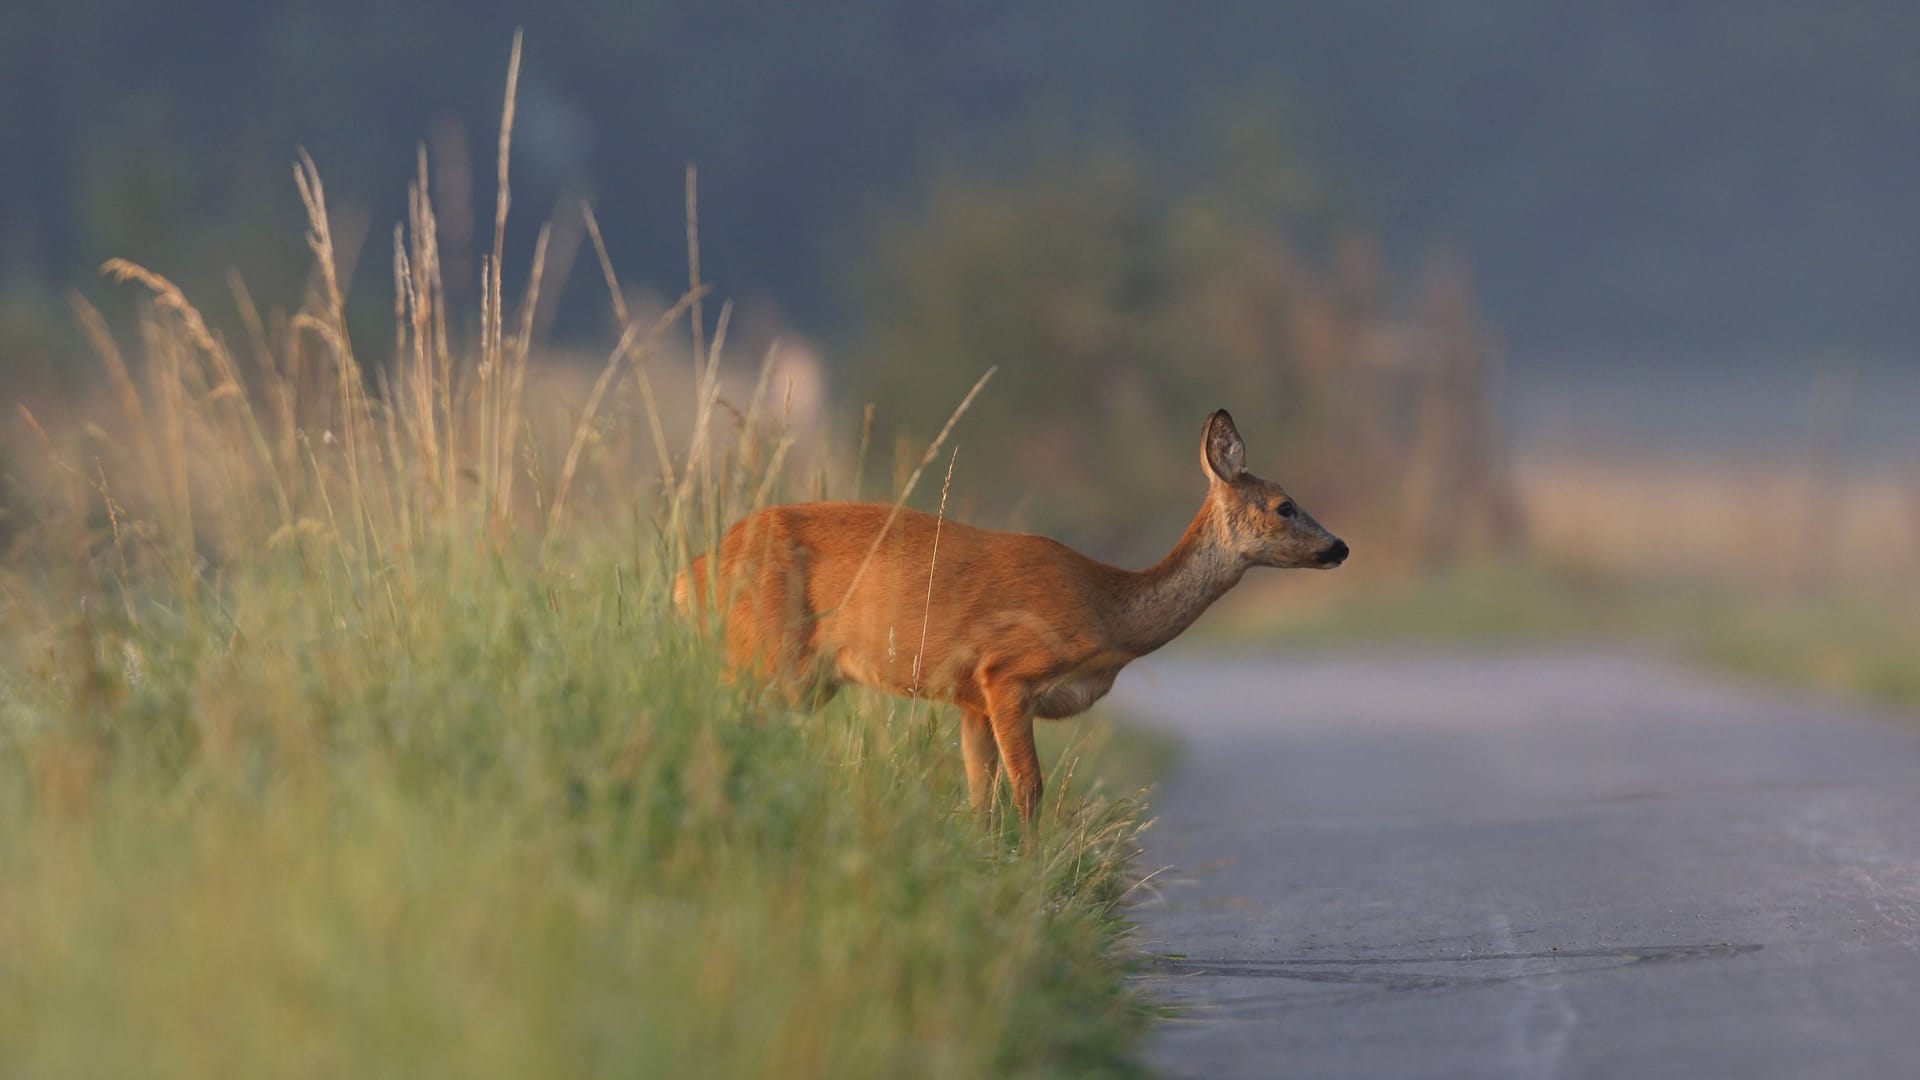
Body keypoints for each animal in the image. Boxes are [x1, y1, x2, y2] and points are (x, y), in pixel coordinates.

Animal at [675, 407, 1351, 826]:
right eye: (1285, 505)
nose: (1339, 547)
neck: (1108, 609)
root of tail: (693, 574)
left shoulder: (970, 699)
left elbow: (981, 795)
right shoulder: (1008, 673)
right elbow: (1028, 792)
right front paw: (1033, 885)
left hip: (799, 676)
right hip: (766, 656)